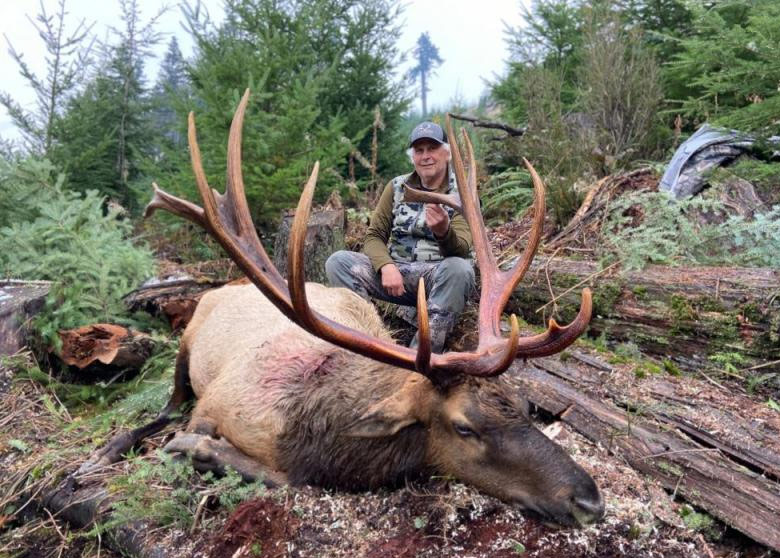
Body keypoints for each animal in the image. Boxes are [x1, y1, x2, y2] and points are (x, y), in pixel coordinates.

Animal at [85, 90, 603, 527]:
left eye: (524, 406)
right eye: (465, 427)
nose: (588, 500)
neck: (316, 434)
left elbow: (285, 477)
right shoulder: (216, 404)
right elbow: (232, 457)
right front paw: (195, 449)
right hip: (187, 342)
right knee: (167, 405)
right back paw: (106, 451)